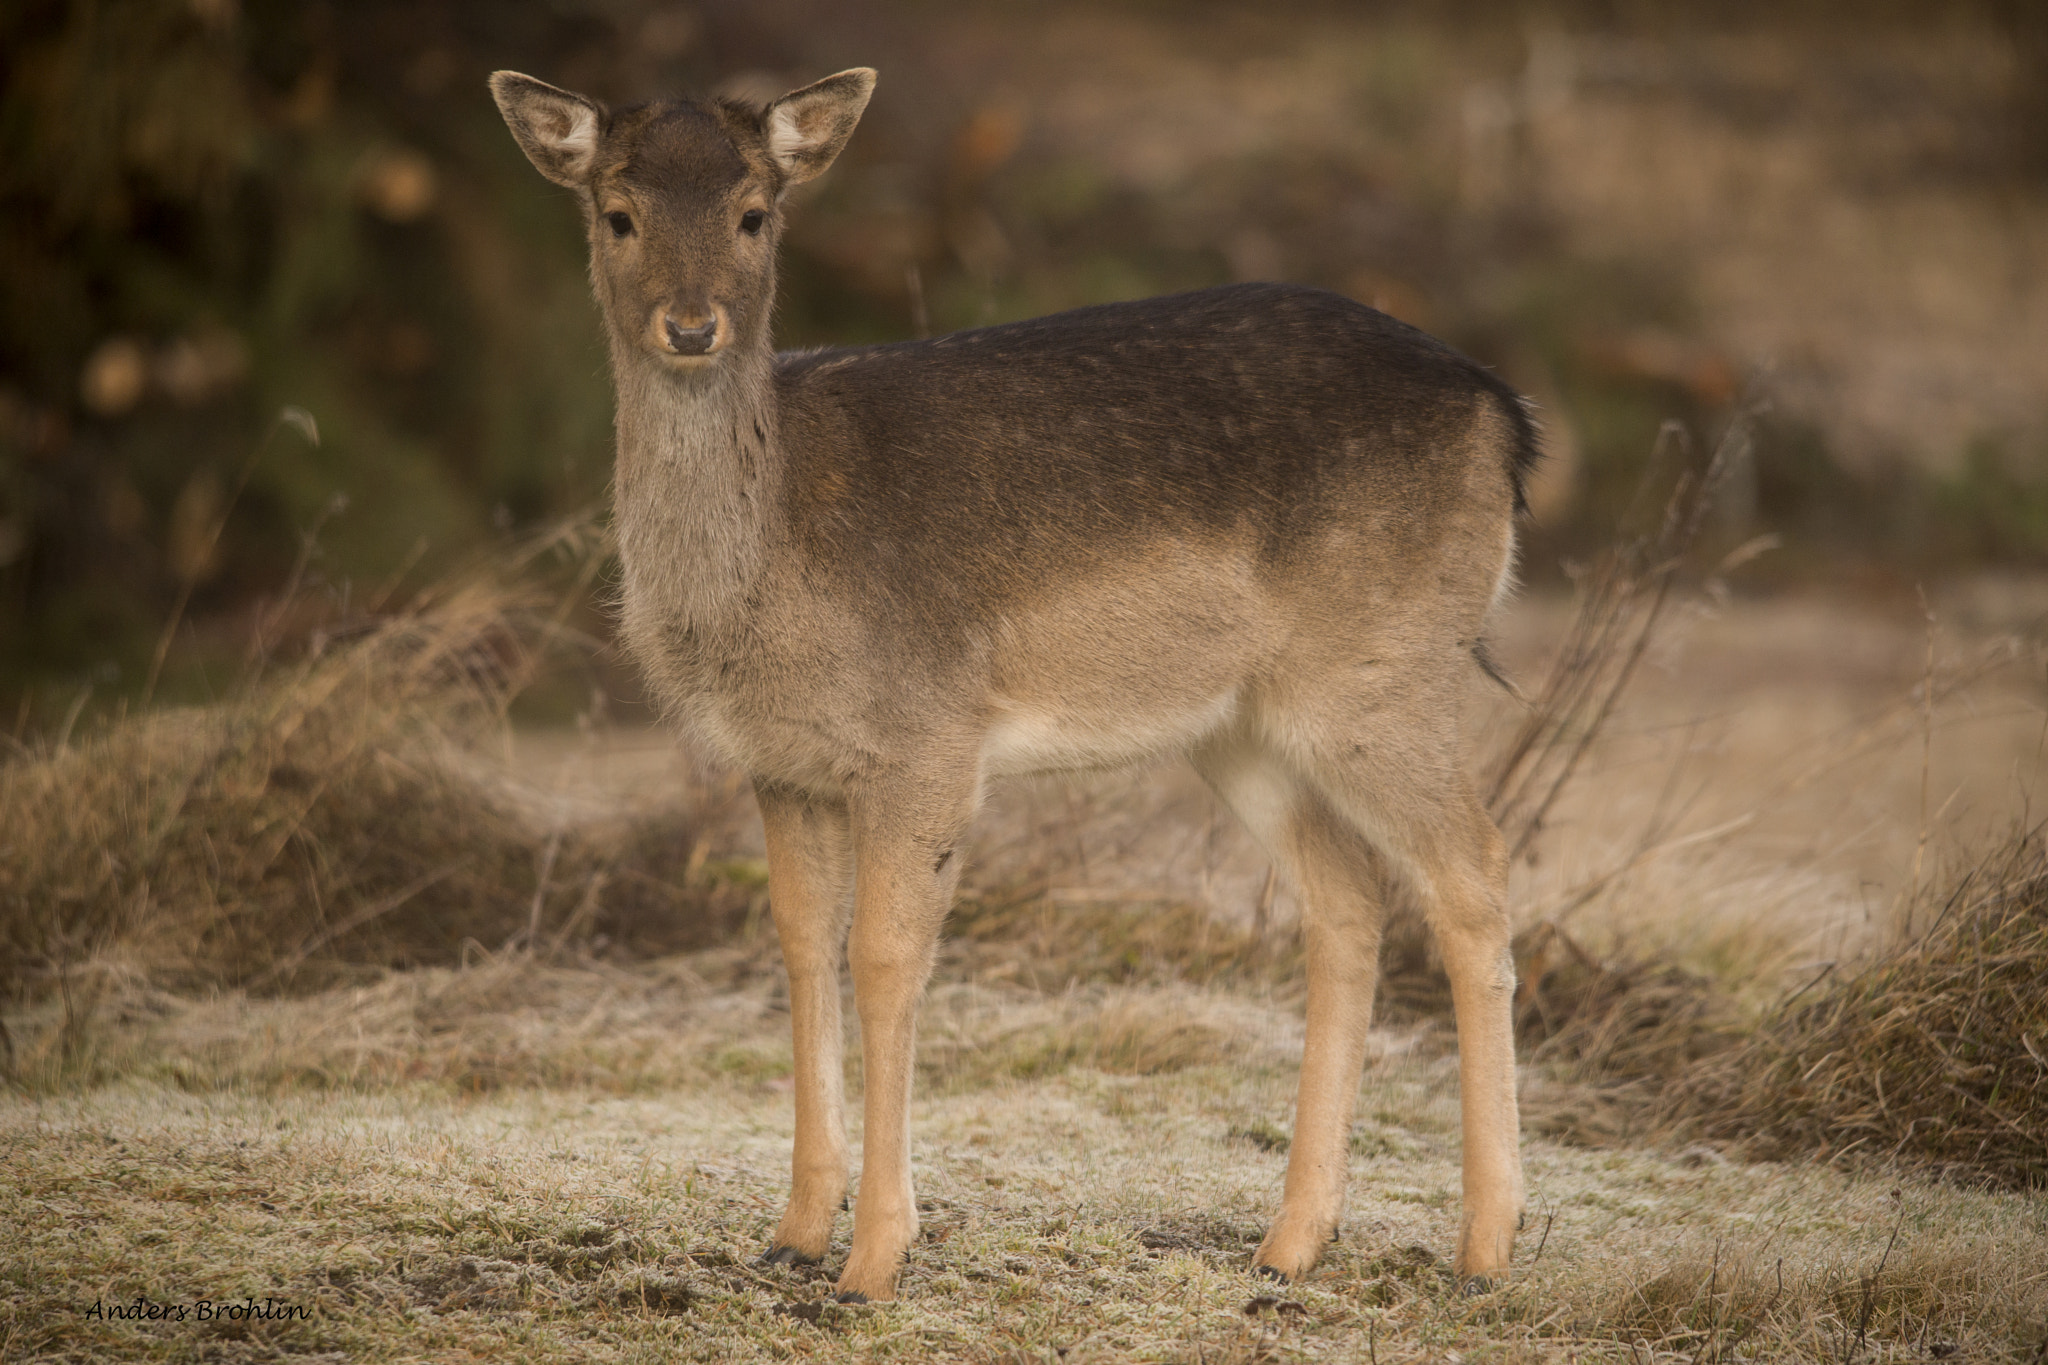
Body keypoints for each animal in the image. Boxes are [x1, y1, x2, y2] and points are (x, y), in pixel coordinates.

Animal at [487, 63, 1531, 1301]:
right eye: (617, 214)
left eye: (752, 213)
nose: (691, 326)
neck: (768, 574)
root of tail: (1503, 417)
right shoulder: (781, 763)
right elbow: (800, 947)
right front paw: (792, 1231)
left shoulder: (927, 735)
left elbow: (885, 957)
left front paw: (873, 1260)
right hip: (1245, 725)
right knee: (1349, 900)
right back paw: (1287, 1245)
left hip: (1380, 671)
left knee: (1474, 874)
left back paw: (1484, 1248)